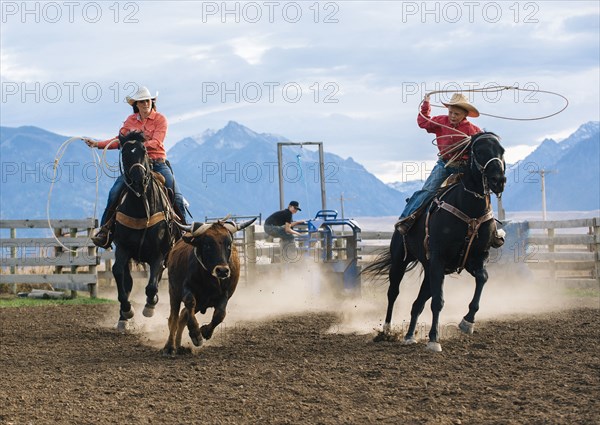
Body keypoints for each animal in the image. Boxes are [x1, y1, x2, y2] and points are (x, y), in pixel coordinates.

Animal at [111, 131, 179, 330]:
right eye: (125, 153)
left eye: (144, 150)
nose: (139, 180)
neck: (141, 208)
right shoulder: (123, 248)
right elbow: (118, 273)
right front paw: (126, 311)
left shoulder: (159, 253)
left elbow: (152, 284)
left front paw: (150, 306)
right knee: (128, 280)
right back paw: (123, 318)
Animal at [364, 132, 504, 352]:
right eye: (480, 151)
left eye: (502, 150)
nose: (499, 180)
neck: (469, 209)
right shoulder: (439, 258)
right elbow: (438, 301)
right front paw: (433, 340)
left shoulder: (476, 258)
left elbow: (483, 277)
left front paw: (468, 322)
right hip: (400, 260)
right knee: (393, 292)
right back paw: (386, 330)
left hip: (430, 270)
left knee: (417, 303)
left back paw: (409, 336)